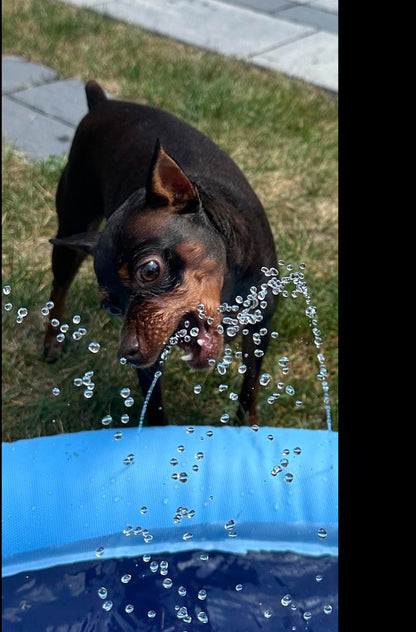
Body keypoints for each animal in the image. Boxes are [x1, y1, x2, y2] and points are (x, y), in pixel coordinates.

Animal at [43, 79, 280, 424]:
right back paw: (52, 341)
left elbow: (249, 388)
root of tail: (102, 103)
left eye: (150, 270)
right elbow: (155, 409)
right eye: (111, 307)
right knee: (58, 287)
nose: (127, 354)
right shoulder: (151, 361)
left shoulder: (260, 326)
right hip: (70, 229)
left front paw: (247, 427)